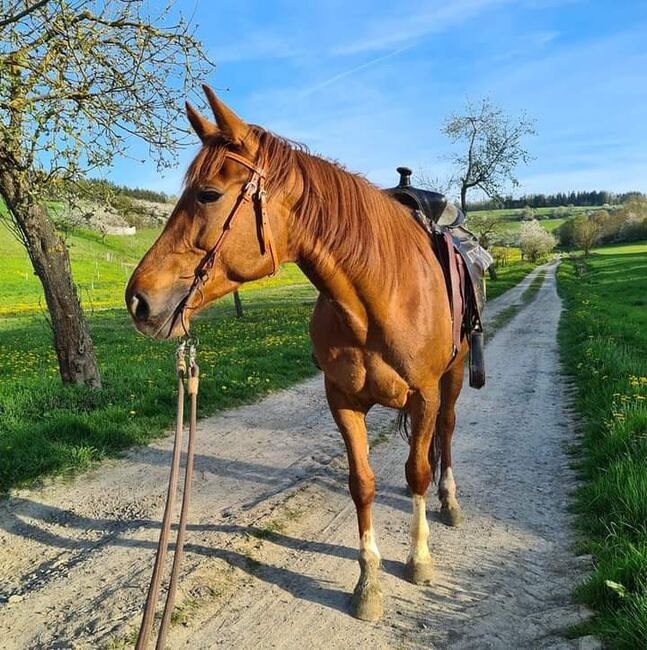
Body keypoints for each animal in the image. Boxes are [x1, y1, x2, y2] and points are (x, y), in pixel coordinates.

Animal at [126, 85, 468, 616]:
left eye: (208, 194)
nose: (138, 301)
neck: (379, 297)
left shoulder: (425, 394)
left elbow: (417, 471)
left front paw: (418, 559)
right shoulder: (342, 401)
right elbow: (362, 483)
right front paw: (368, 583)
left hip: (453, 378)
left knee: (446, 434)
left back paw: (449, 501)